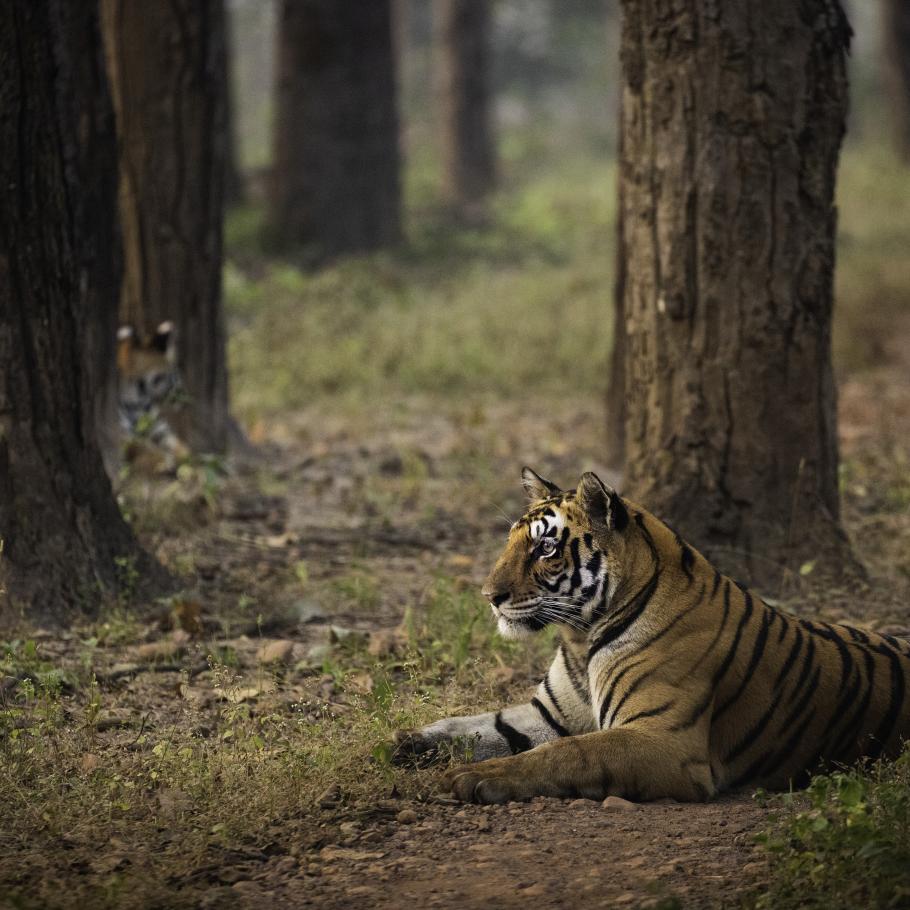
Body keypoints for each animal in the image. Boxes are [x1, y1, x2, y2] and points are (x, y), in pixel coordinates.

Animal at [394, 470, 910, 804]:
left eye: (545, 548)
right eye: (511, 542)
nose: (489, 596)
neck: (581, 637)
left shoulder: (664, 739)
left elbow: (565, 753)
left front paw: (472, 777)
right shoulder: (550, 715)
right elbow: (477, 725)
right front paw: (407, 741)